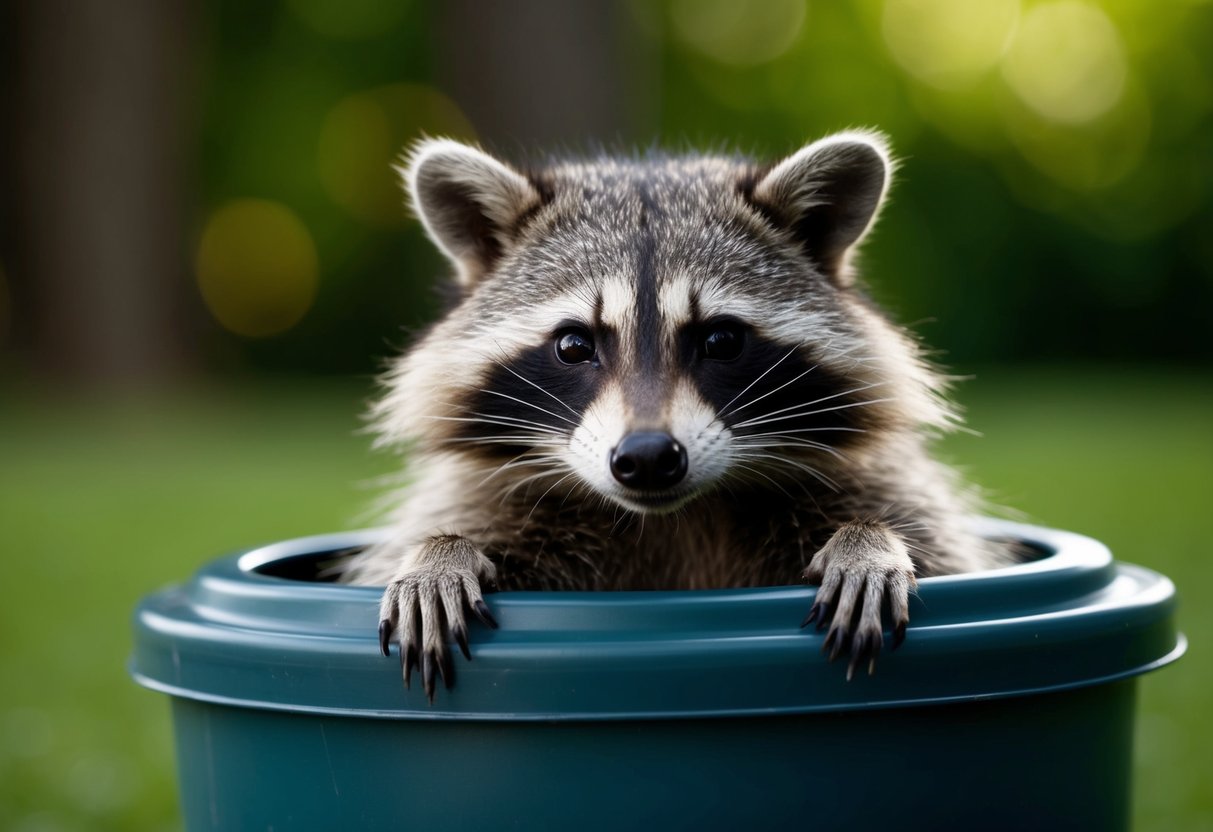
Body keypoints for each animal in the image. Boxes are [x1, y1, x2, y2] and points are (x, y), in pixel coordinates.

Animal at [346, 132, 1014, 701]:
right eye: (573, 345)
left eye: (720, 340)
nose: (646, 458)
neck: (671, 520)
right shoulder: (488, 495)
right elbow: (448, 526)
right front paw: (442, 554)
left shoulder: (879, 481)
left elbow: (935, 546)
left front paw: (867, 541)